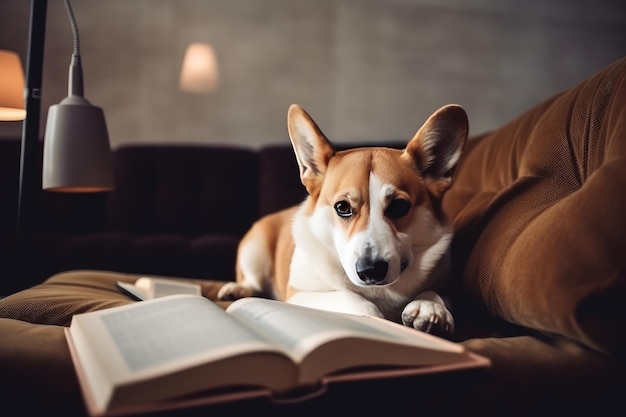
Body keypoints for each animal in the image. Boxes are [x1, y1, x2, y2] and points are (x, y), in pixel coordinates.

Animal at [217, 104, 466, 334]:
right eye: (342, 207)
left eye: (399, 206)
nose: (371, 270)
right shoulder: (300, 293)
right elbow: (353, 300)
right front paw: (377, 319)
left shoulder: (448, 284)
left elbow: (437, 293)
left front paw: (430, 307)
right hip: (254, 251)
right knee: (252, 280)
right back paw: (236, 289)